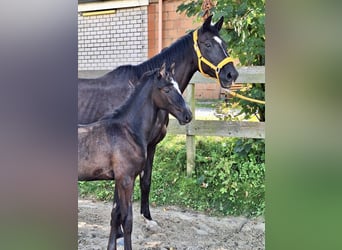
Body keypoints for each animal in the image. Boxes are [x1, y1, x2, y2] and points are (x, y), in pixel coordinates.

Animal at [79, 65, 194, 250]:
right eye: (167, 89)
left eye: (177, 86)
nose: (187, 115)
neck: (128, 130)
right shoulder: (126, 179)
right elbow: (127, 220)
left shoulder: (121, 179)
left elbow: (116, 214)